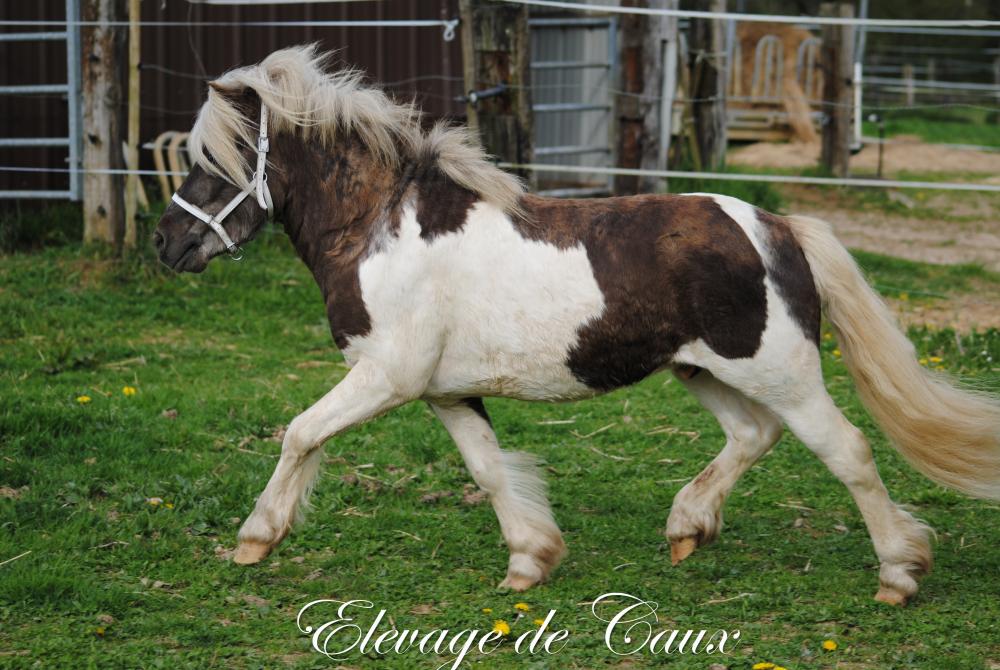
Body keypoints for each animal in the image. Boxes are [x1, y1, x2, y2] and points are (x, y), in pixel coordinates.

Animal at [154, 45, 1000, 605]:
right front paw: (530, 560)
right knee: (752, 436)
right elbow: (490, 470)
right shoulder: (442, 390)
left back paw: (900, 573)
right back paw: (687, 527)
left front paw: (254, 540)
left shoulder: (387, 376)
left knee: (847, 451)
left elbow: (301, 432)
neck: (379, 230)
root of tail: (777, 226)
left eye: (217, 161)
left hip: (781, 372)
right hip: (705, 369)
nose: (167, 243)